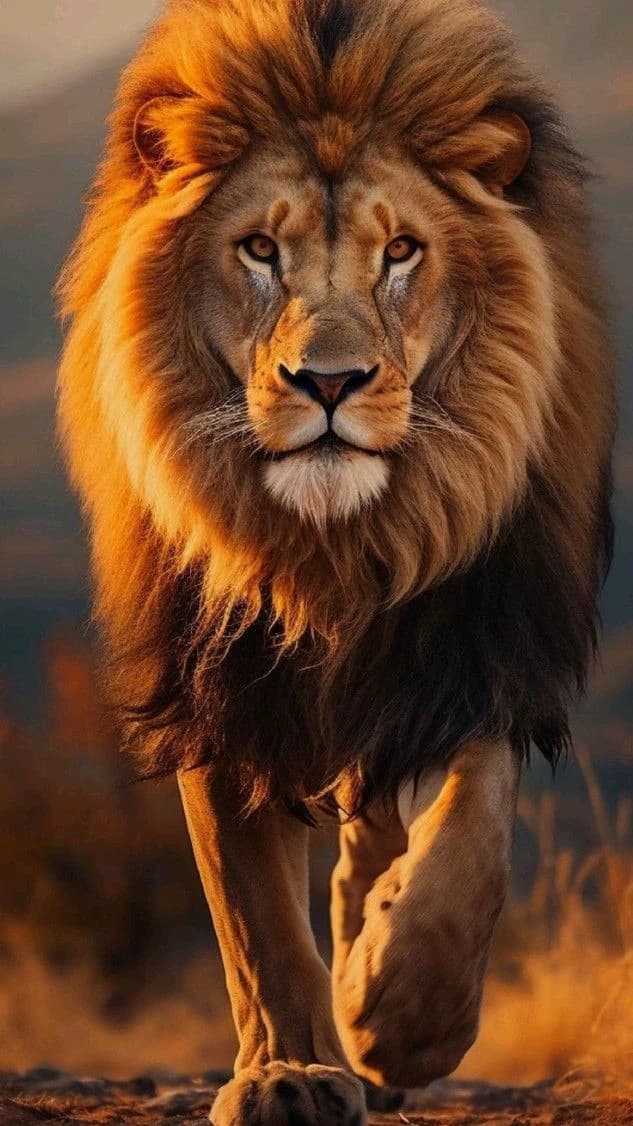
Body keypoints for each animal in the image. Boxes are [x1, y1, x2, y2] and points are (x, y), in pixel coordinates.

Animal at [57, 0, 615, 1121]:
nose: (327, 382)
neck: (336, 552)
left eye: (400, 250)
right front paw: (291, 1070)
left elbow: (473, 832)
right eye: (258, 249)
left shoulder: (480, 646)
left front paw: (404, 1018)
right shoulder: (214, 683)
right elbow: (255, 915)